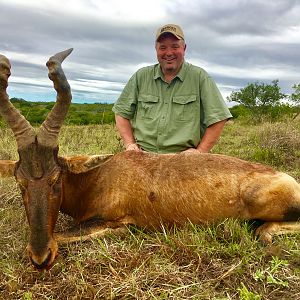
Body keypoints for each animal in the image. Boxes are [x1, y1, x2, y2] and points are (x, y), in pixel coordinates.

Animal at [0, 49, 300, 270]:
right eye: (20, 182)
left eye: (56, 180)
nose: (41, 258)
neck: (100, 174)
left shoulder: (116, 222)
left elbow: (63, 235)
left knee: (265, 230)